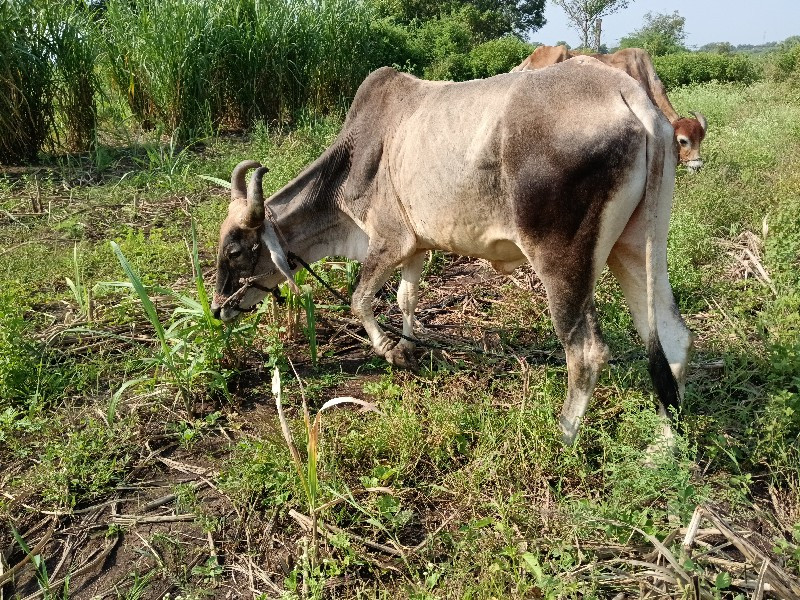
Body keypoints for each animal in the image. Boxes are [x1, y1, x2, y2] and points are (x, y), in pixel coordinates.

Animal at [212, 59, 692, 446]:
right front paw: (410, 348)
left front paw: (390, 351)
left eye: (235, 250)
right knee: (672, 334)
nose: (218, 308)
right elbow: (406, 299)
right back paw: (665, 443)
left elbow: (359, 299)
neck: (354, 162)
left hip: (563, 260)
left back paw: (565, 436)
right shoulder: (415, 245)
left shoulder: (388, 241)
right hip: (636, 246)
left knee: (586, 351)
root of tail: (628, 95)